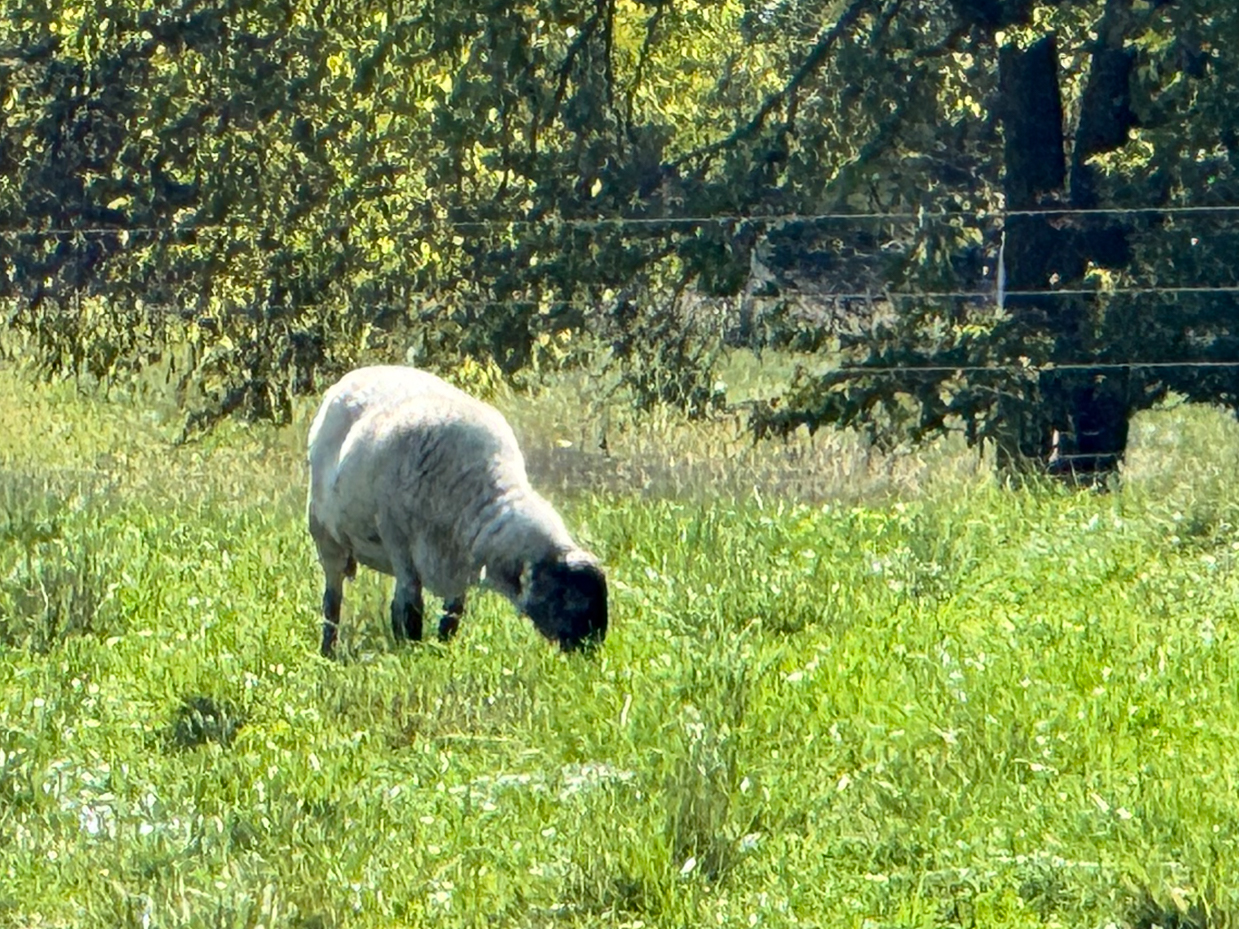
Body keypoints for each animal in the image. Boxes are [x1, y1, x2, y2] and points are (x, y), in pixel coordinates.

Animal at [304, 366, 604, 658]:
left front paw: (443, 650)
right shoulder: (400, 545)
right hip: (324, 532)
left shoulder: (457, 567)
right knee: (332, 600)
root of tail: (352, 376)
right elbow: (409, 611)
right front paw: (412, 653)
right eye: (566, 597)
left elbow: (451, 617)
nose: (591, 650)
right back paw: (327, 651)